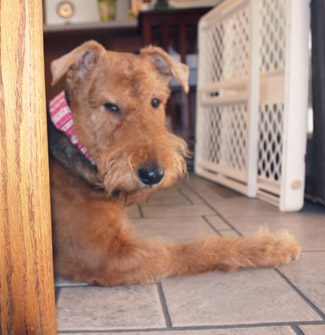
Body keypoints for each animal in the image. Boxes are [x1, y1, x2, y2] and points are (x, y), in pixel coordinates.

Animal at [49, 40, 300, 286]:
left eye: (155, 101)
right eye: (110, 105)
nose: (153, 174)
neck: (76, 144)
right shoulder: (105, 255)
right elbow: (193, 249)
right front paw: (273, 246)